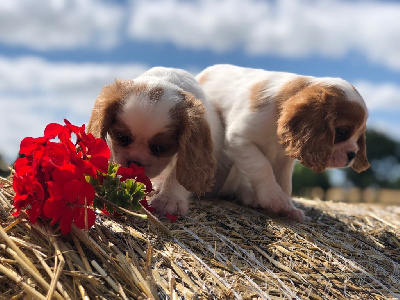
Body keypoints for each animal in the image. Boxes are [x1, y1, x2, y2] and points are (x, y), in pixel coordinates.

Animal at [198, 64, 370, 221]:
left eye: (359, 136)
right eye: (341, 132)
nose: (352, 155)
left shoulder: (284, 158)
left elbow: (285, 182)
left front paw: (288, 208)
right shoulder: (239, 140)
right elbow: (262, 166)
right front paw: (274, 198)